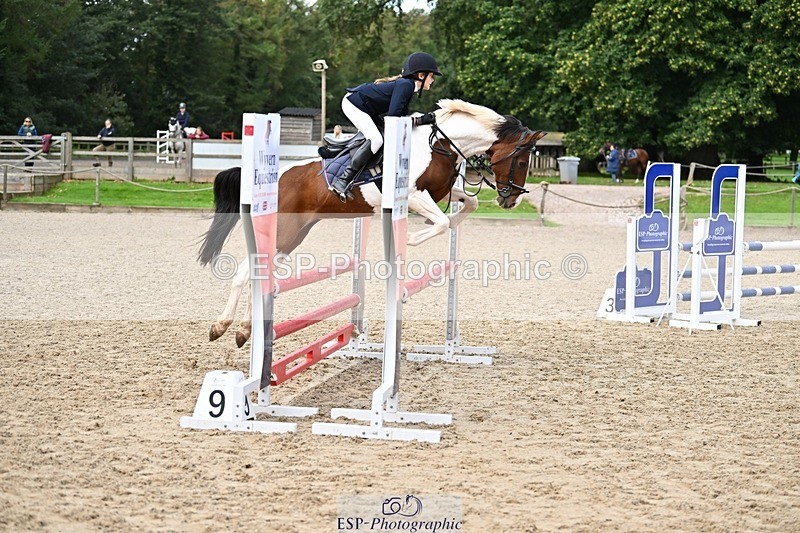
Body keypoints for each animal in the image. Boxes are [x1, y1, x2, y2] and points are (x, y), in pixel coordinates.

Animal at [199, 99, 546, 346]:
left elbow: (467, 205)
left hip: (291, 237)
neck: (442, 144)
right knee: (247, 272)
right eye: (521, 160)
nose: (511, 200)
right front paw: (411, 239)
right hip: (284, 231)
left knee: (260, 273)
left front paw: (448, 220)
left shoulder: (442, 191)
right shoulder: (414, 194)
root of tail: (276, 178)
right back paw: (221, 326)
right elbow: (440, 224)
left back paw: (243, 330)